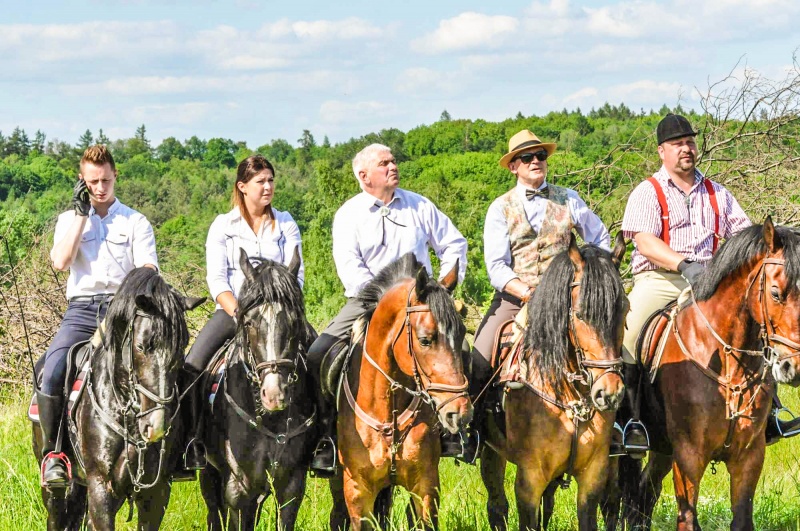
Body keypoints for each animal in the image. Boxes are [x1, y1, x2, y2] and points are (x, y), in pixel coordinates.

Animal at [32, 267, 204, 530]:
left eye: (181, 345)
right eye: (142, 346)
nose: (156, 426)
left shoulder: (157, 491)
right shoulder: (101, 485)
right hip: (56, 489)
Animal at [198, 248, 317, 531]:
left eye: (295, 322)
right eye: (250, 323)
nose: (274, 395)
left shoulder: (290, 486)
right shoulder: (239, 490)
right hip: (209, 473)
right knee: (214, 512)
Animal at [327, 253, 472, 531]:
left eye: (461, 335)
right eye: (425, 340)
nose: (459, 412)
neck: (388, 411)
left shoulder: (426, 487)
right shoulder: (358, 494)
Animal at [480, 234, 629, 531]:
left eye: (625, 310)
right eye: (580, 314)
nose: (609, 393)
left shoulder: (593, 476)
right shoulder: (529, 480)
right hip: (492, 453)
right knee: (497, 506)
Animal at [619, 218, 800, 530]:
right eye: (776, 293)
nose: (794, 367)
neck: (728, 364)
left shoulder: (749, 456)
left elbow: (742, 518)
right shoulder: (689, 456)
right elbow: (688, 518)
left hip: (662, 449)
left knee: (645, 492)